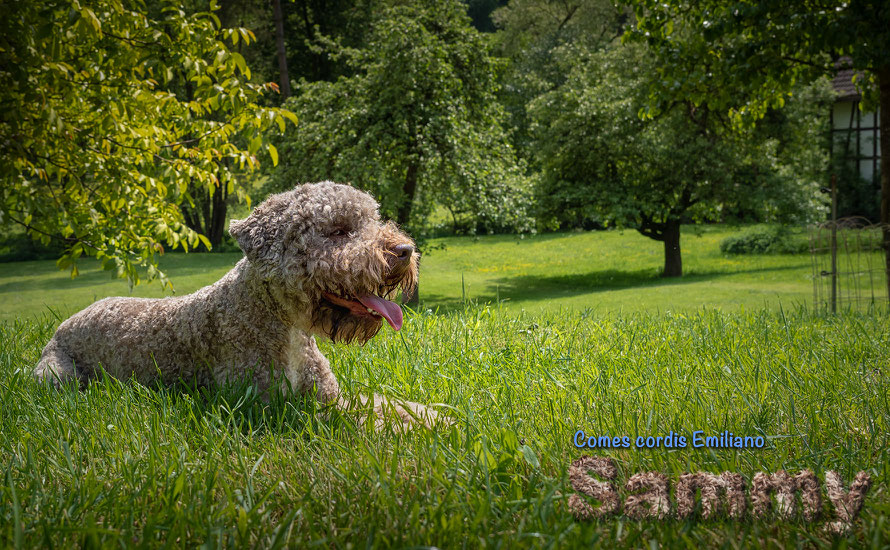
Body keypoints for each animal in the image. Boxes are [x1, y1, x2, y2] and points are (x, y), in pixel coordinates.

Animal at [34, 183, 438, 430]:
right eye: (338, 230)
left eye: (372, 218)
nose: (405, 250)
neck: (282, 325)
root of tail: (65, 323)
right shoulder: (274, 407)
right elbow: (359, 421)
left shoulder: (328, 394)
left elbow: (385, 403)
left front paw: (434, 417)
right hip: (56, 376)